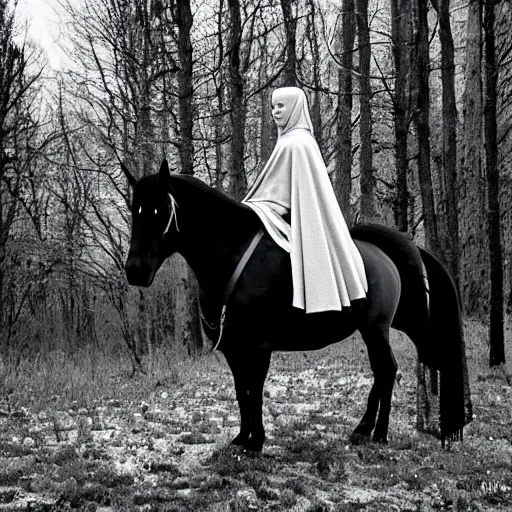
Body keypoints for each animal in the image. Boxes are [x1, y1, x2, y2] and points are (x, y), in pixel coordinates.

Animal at [122, 160, 470, 452]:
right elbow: (241, 391)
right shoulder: (235, 350)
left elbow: (254, 392)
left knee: (386, 371)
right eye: (134, 211)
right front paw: (242, 438)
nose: (135, 270)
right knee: (383, 372)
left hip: (375, 329)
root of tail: (380, 253)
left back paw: (378, 433)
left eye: (157, 210)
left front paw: (256, 441)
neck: (234, 259)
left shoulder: (259, 348)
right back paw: (363, 430)